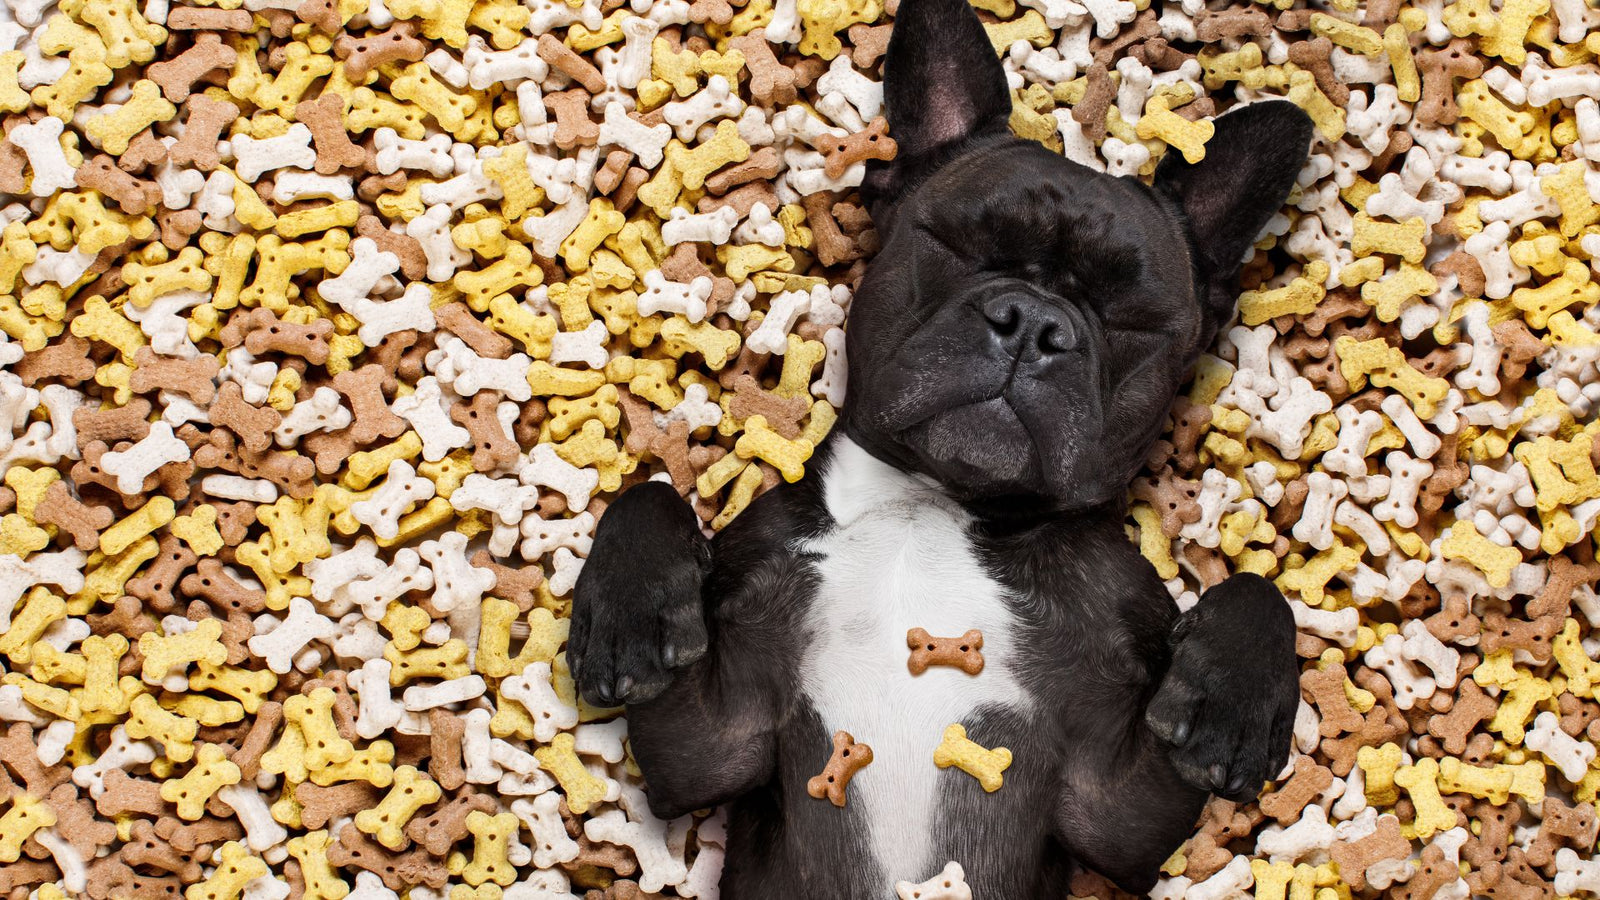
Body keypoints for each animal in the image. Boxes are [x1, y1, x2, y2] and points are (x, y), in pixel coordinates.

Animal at [569, 1, 1318, 890]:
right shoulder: (711, 746)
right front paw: (629, 613)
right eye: (959, 247)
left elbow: (1255, 590)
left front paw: (1230, 703)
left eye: (1131, 316)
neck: (930, 505)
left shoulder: (1115, 815)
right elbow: (647, 492)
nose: (1033, 323)